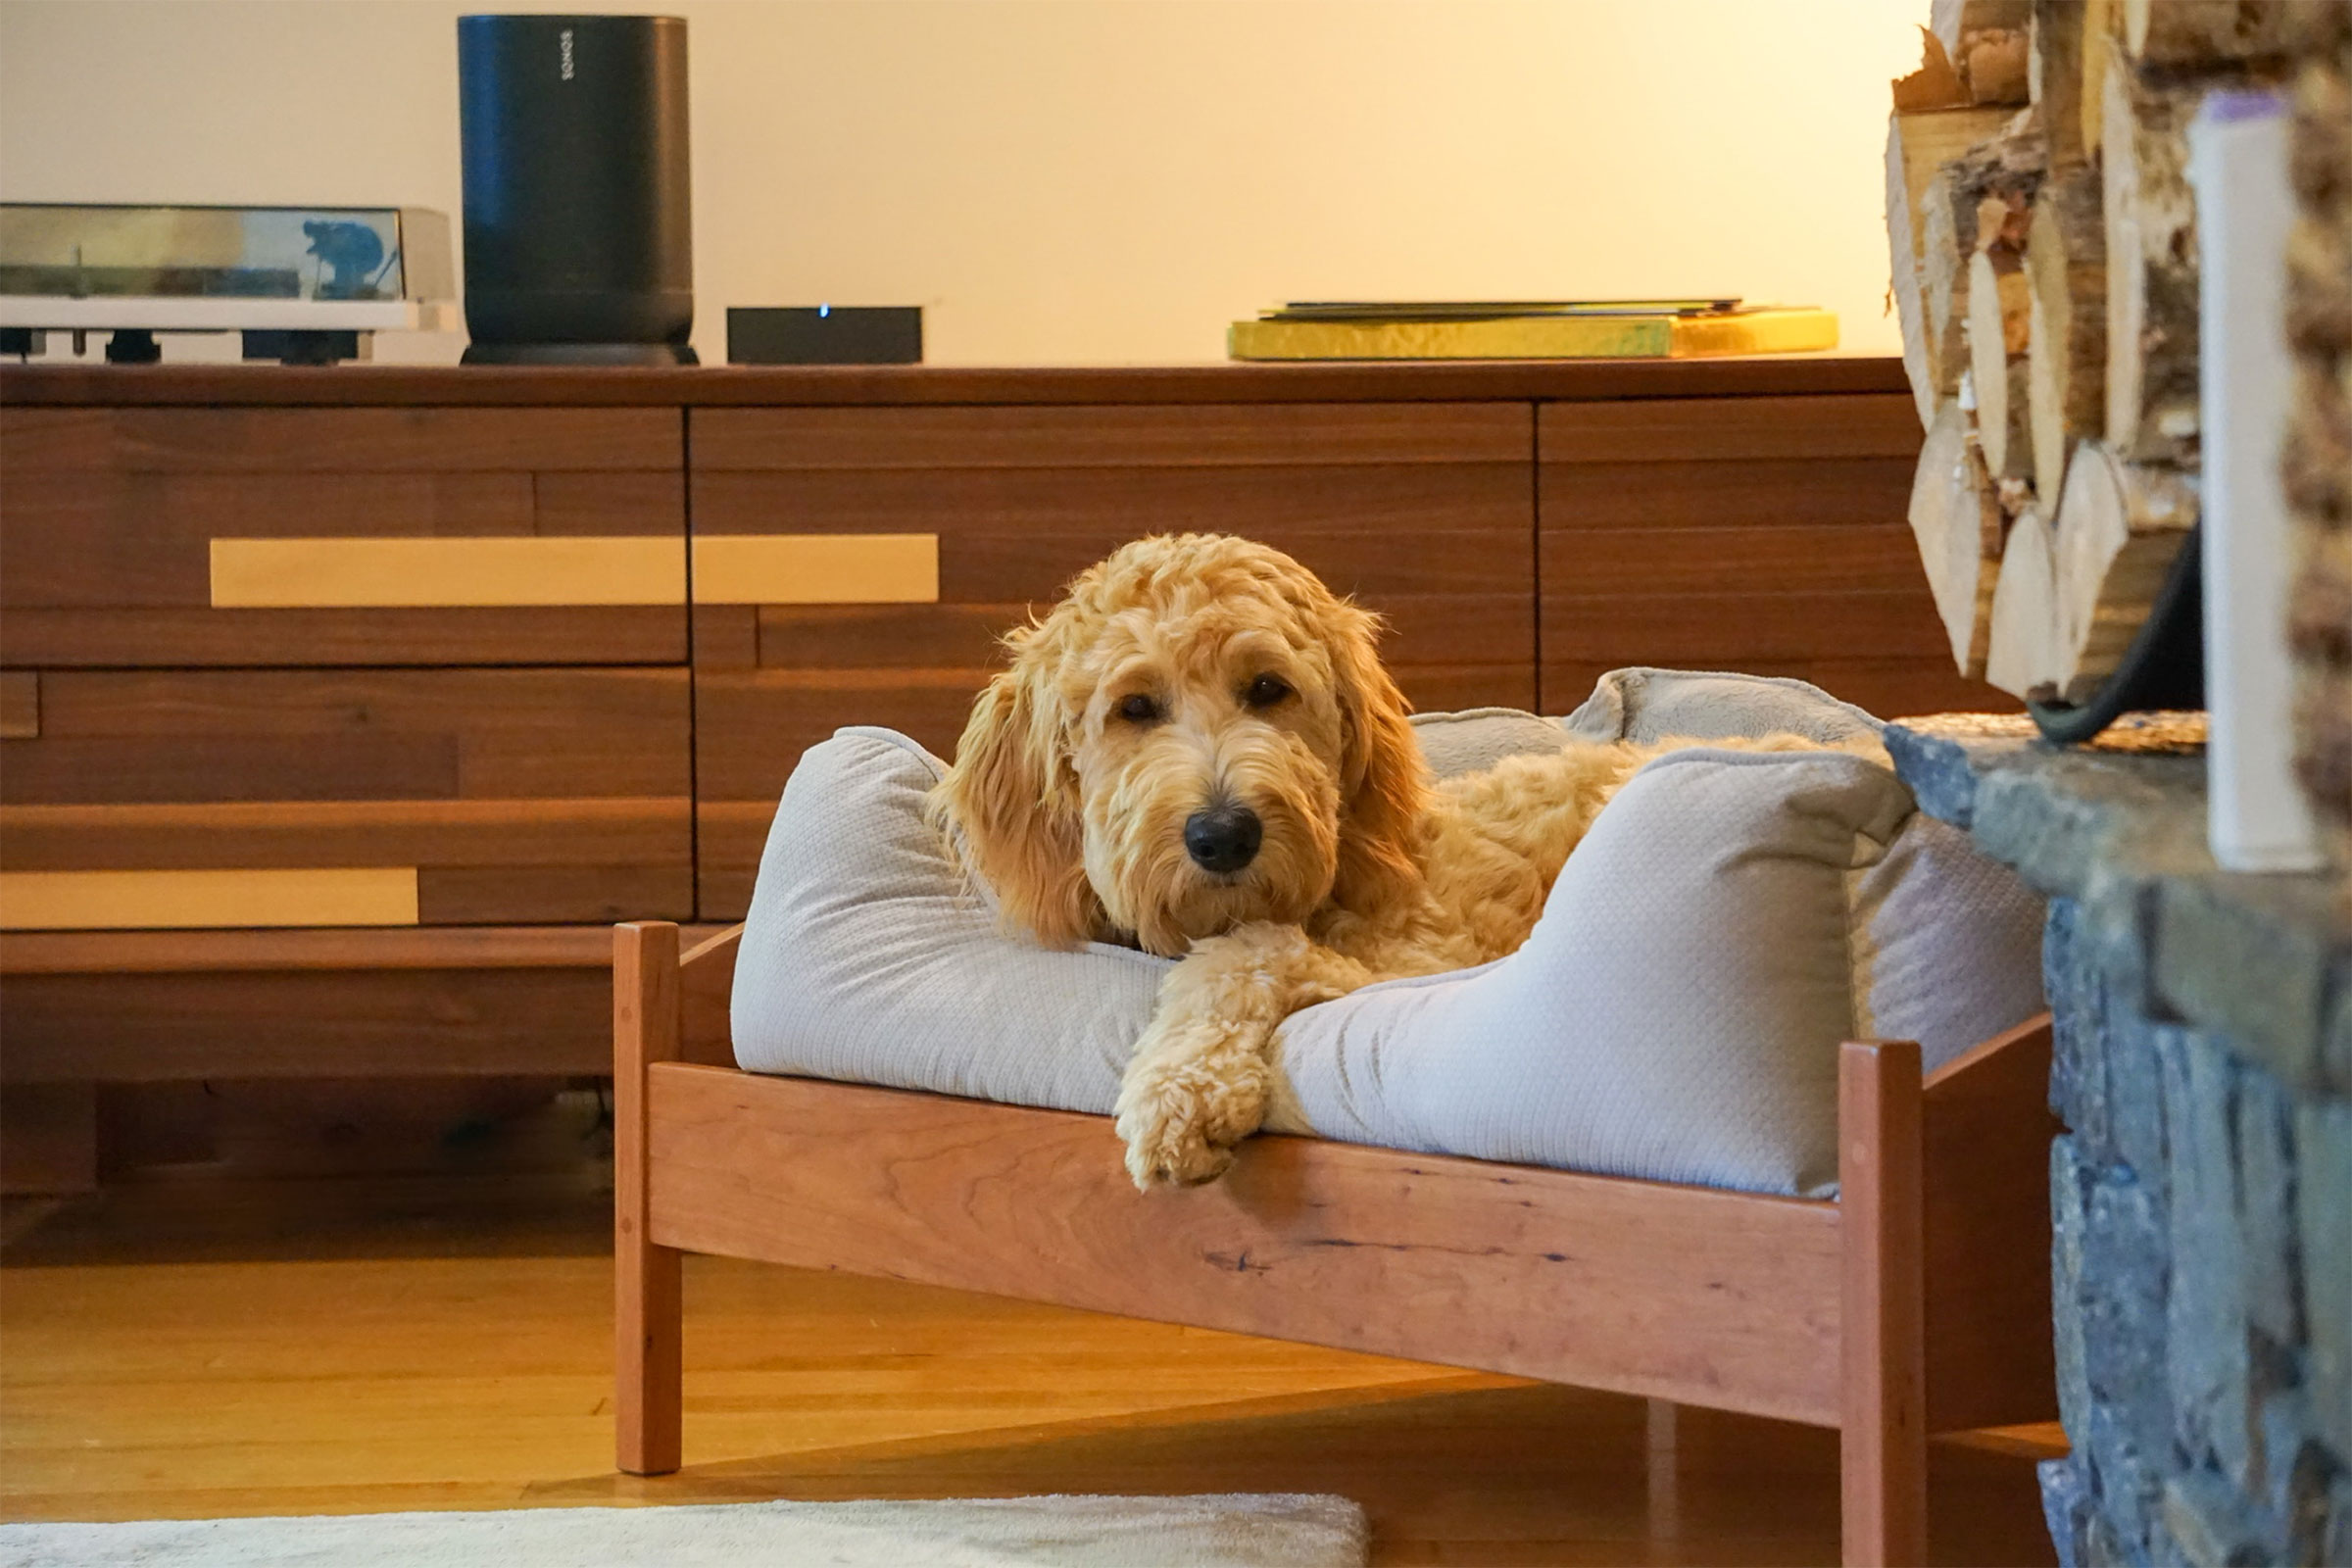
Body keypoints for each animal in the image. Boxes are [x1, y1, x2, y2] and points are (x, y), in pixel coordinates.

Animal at [921, 531, 1872, 1189]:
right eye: (1135, 708)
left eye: (1268, 689)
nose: (1224, 836)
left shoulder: (1410, 963)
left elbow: (1243, 954)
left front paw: (1179, 1089)